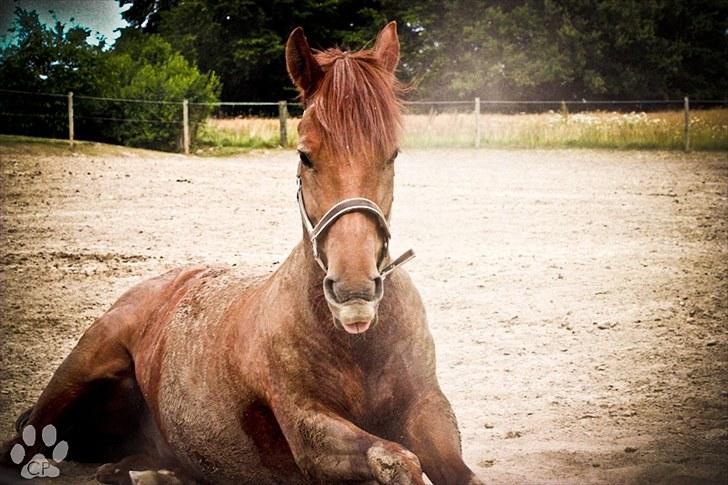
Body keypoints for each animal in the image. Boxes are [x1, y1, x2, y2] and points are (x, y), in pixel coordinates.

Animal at [1, 22, 483, 485]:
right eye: (305, 156)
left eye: (392, 154)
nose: (354, 289)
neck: (358, 345)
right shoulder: (310, 431)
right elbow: (397, 460)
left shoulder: (427, 407)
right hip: (79, 371)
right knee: (19, 446)